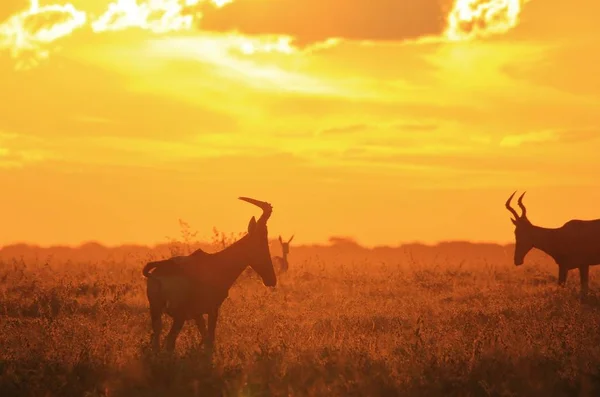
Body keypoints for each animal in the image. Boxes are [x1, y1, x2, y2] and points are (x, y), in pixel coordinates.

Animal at [143, 196, 276, 352]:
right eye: (261, 241)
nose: (271, 280)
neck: (216, 263)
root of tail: (160, 272)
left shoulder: (198, 313)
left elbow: (205, 336)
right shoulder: (212, 309)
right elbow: (210, 341)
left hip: (156, 311)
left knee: (157, 340)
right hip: (179, 316)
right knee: (169, 342)